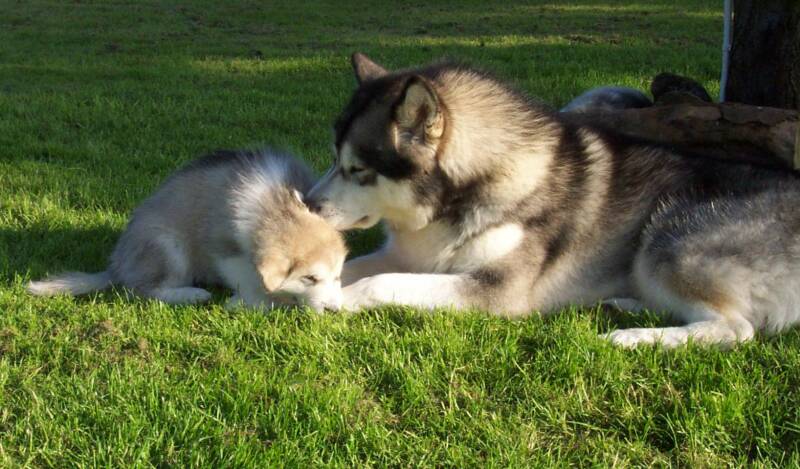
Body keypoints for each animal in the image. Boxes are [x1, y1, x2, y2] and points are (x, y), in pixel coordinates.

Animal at [27, 149, 346, 310]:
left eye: (337, 275)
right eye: (309, 278)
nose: (334, 310)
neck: (276, 205)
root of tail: (117, 266)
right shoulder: (224, 250)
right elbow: (248, 278)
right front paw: (250, 302)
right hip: (168, 246)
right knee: (143, 290)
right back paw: (192, 294)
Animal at [304, 54, 800, 348]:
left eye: (358, 170)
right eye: (333, 157)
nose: (307, 204)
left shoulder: (496, 292)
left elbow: (380, 283)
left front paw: (338, 299)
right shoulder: (407, 255)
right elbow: (357, 268)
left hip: (665, 241)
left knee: (738, 328)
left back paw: (634, 336)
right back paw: (625, 305)